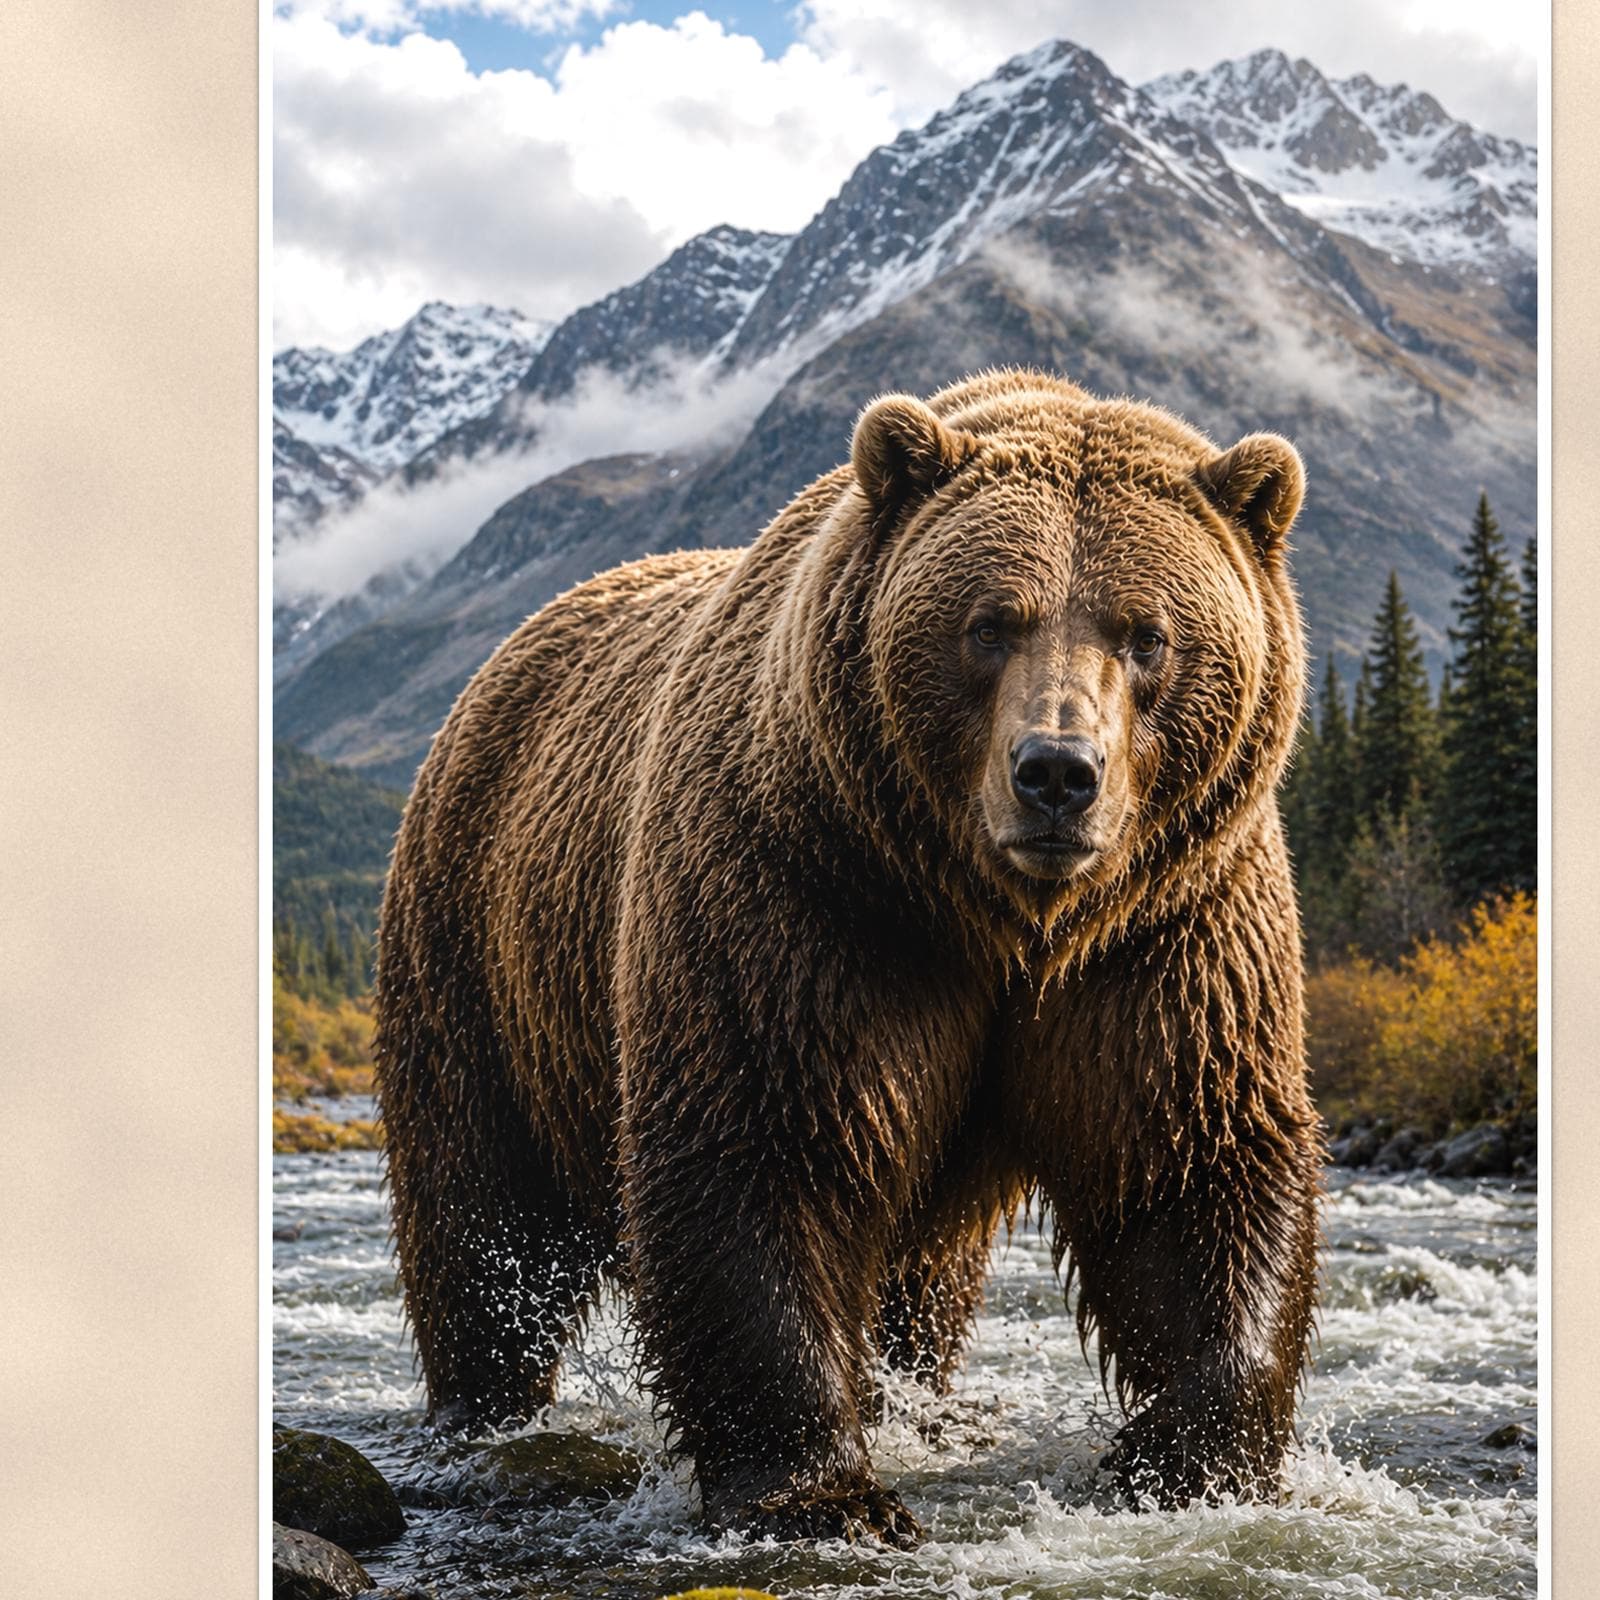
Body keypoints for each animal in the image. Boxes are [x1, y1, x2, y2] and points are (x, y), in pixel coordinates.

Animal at [374, 367, 1324, 1548]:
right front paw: (825, 1492)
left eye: (1145, 632)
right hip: (478, 949)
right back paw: (483, 1403)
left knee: (922, 1278)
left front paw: (1190, 1456)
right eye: (989, 623)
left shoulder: (1166, 934)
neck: (1000, 919)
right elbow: (766, 1144)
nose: (1057, 773)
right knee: (479, 1206)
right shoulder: (809, 900)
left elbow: (1190, 1163)